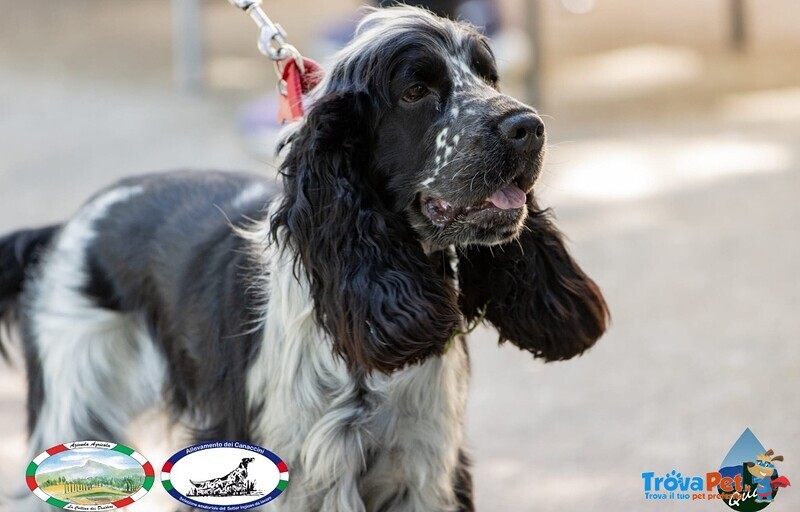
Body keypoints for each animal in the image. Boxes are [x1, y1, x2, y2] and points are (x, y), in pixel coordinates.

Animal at [1, 6, 608, 510]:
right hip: (73, 401)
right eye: (415, 90)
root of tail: (64, 228)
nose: (529, 128)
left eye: (489, 77)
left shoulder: (426, 469)